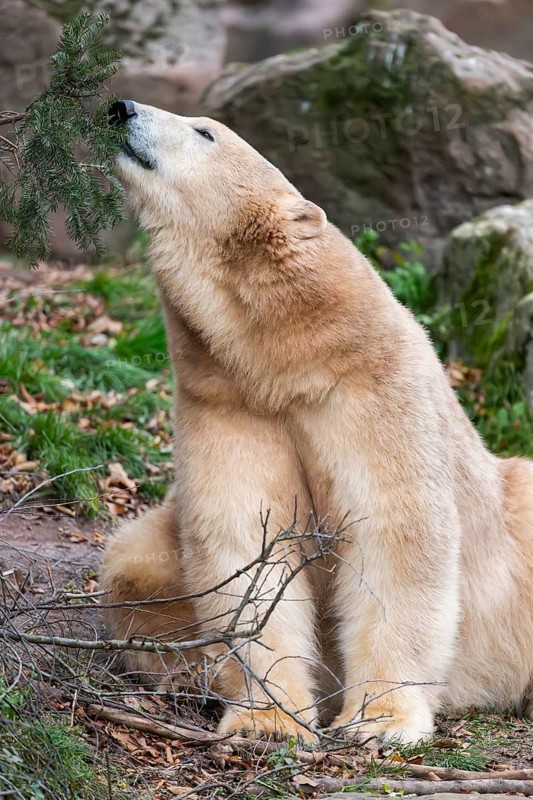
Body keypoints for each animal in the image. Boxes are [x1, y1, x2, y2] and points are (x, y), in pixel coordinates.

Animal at [101, 100, 533, 745]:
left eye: (205, 132)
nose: (120, 107)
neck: (292, 355)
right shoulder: (227, 401)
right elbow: (246, 545)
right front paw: (268, 721)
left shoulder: (374, 391)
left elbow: (395, 535)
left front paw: (379, 721)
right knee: (133, 567)